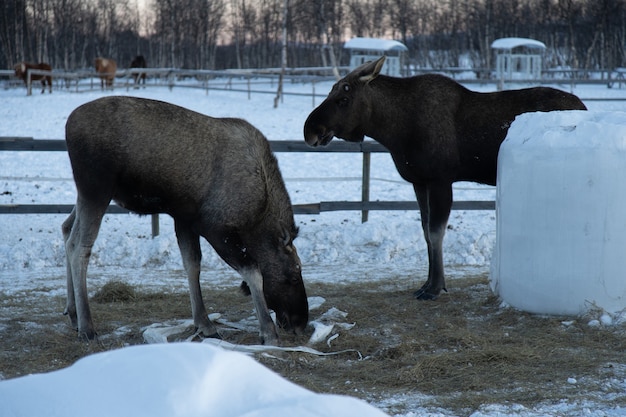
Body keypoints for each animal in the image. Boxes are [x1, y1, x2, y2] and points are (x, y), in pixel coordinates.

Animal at [62, 96, 308, 342]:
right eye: (295, 274)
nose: (301, 323)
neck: (257, 215)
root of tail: (68, 124)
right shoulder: (216, 228)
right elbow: (253, 272)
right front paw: (267, 330)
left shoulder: (185, 219)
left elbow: (192, 265)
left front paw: (204, 323)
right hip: (96, 189)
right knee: (79, 247)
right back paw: (87, 326)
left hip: (88, 194)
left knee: (66, 230)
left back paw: (73, 314)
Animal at [302, 57, 584, 300]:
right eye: (331, 93)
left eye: (343, 98)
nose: (310, 130)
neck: (393, 131)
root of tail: (584, 106)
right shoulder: (419, 181)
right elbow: (426, 231)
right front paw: (426, 283)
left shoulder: (441, 179)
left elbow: (436, 233)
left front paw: (435, 288)